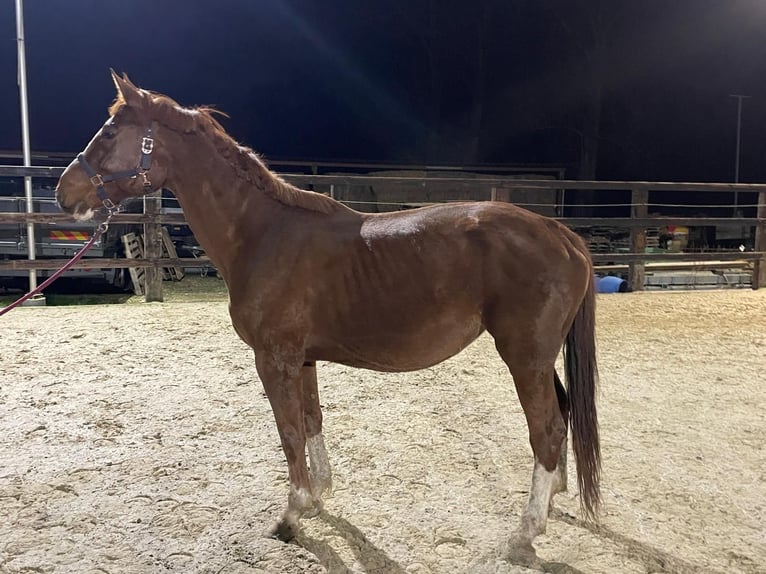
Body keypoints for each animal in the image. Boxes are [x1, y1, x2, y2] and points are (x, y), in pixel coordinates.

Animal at [57, 73, 604, 568]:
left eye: (110, 132)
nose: (65, 192)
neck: (263, 233)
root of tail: (562, 233)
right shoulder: (302, 360)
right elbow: (312, 421)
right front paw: (319, 497)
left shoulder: (273, 359)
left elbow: (289, 432)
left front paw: (291, 515)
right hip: (540, 357)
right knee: (562, 413)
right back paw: (552, 500)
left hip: (524, 356)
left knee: (546, 430)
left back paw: (525, 534)